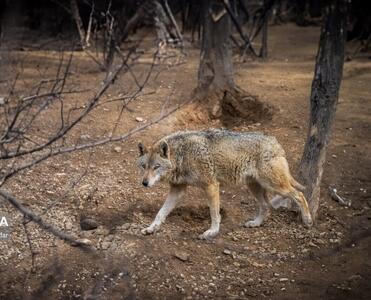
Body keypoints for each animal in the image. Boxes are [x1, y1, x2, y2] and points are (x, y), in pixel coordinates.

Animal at [138, 128, 312, 239]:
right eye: (143, 166)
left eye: (156, 167)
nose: (144, 183)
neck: (183, 155)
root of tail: (275, 142)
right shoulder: (177, 190)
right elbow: (161, 212)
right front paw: (151, 228)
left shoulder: (211, 186)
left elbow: (214, 214)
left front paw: (212, 232)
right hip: (254, 187)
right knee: (266, 206)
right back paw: (255, 223)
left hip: (274, 185)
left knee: (299, 194)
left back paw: (308, 220)